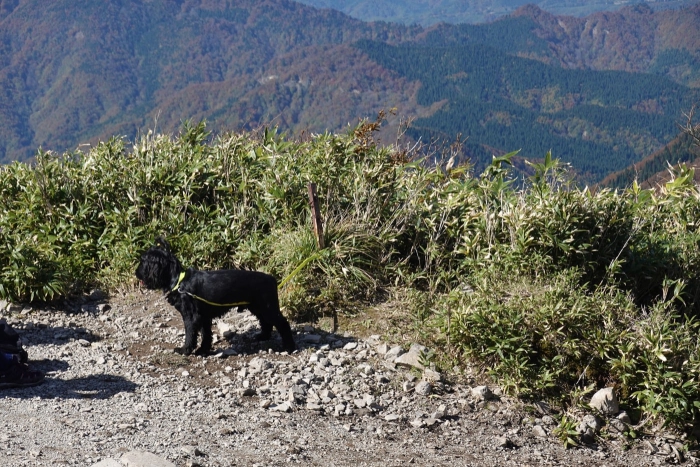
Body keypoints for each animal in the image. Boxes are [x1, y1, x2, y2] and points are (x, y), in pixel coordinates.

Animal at [135, 239, 296, 356]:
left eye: (143, 261)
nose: (136, 273)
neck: (179, 280)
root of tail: (271, 279)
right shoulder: (203, 317)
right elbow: (206, 335)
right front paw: (203, 350)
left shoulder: (191, 317)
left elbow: (190, 335)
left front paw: (185, 350)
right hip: (258, 307)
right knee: (266, 322)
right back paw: (262, 336)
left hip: (268, 308)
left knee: (283, 324)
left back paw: (289, 347)